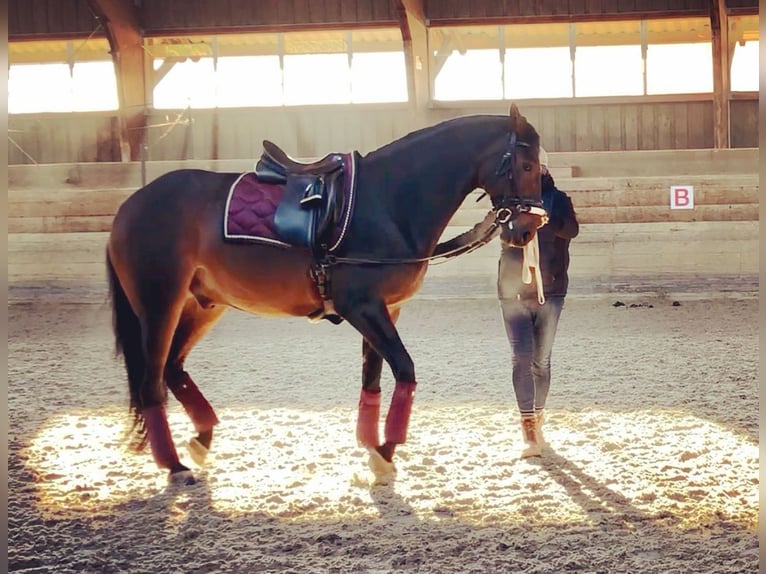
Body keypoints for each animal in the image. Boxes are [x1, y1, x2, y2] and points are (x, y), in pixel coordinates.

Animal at [106, 103, 544, 486]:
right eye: (526, 166)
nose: (527, 229)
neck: (388, 200)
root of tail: (129, 206)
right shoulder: (362, 307)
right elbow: (405, 370)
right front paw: (385, 452)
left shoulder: (385, 310)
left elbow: (373, 379)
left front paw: (370, 447)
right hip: (160, 305)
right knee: (151, 382)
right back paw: (175, 466)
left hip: (202, 306)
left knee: (172, 368)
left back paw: (202, 438)